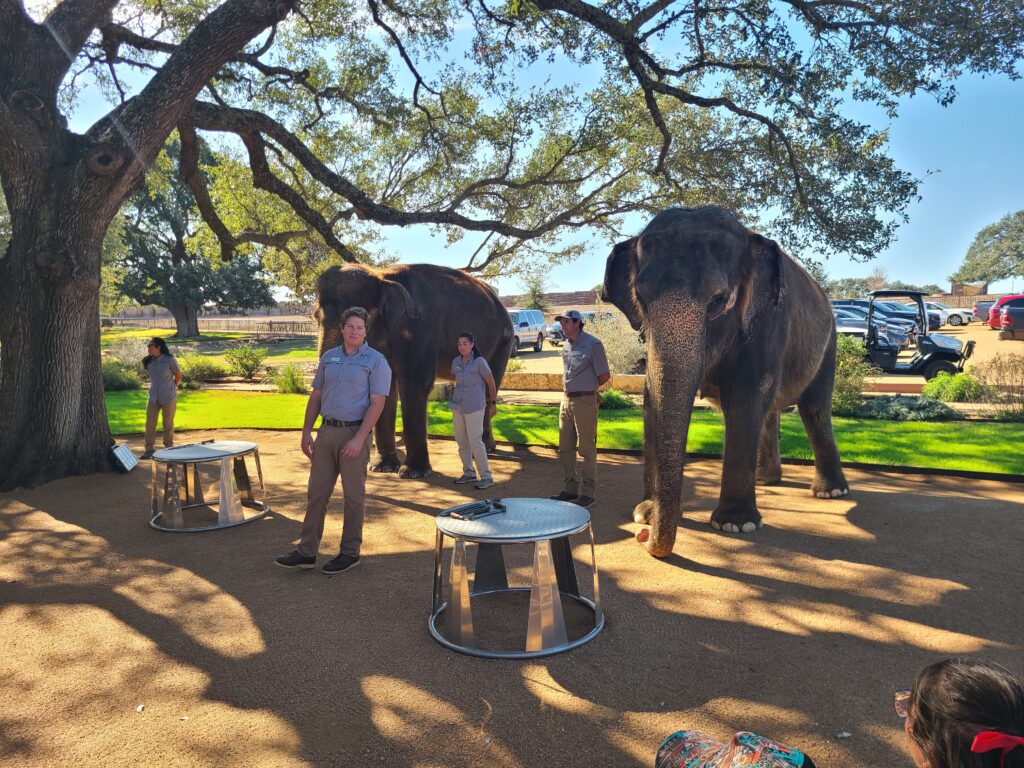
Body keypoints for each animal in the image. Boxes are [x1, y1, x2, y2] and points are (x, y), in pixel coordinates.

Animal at [315, 263, 514, 478]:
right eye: (315, 316)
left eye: (363, 318)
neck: (382, 276)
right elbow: (384, 388)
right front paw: (382, 468)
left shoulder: (421, 328)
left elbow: (414, 385)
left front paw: (412, 473)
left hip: (503, 342)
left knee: (488, 386)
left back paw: (485, 449)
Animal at [602, 205, 849, 557]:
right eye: (641, 299)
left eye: (718, 301)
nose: (642, 538)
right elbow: (652, 397)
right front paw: (644, 512)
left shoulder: (767, 320)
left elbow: (744, 400)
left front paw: (736, 524)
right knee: (771, 410)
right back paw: (766, 480)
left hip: (829, 344)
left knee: (814, 410)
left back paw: (830, 492)